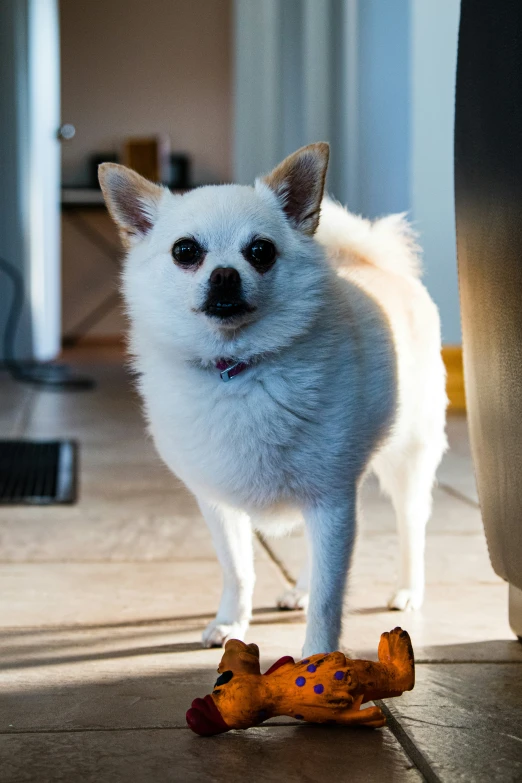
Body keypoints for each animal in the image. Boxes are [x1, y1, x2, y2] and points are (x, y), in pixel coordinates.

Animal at [99, 144, 444, 660]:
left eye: (261, 251)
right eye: (185, 251)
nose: (224, 275)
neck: (238, 368)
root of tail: (377, 264)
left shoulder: (332, 502)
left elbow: (330, 597)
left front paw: (318, 656)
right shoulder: (221, 504)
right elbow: (238, 568)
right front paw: (230, 622)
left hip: (407, 462)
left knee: (411, 529)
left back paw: (408, 590)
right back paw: (299, 588)